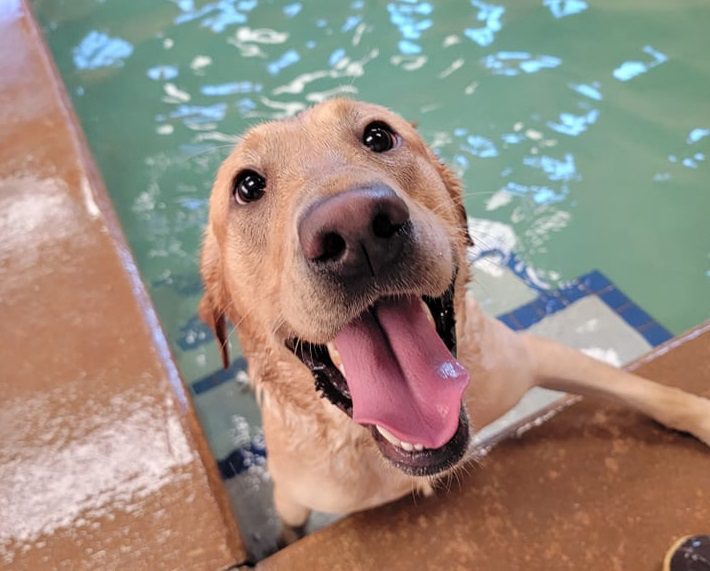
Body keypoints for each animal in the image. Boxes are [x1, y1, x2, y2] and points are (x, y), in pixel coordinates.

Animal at [199, 98, 710, 540]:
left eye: (378, 136)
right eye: (248, 186)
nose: (355, 227)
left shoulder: (532, 357)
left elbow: (652, 392)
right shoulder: (294, 498)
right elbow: (289, 526)